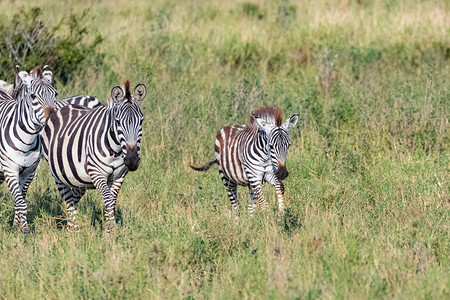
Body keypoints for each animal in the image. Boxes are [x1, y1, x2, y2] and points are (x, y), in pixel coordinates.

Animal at [0, 65, 58, 232]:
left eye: (55, 94)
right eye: (33, 96)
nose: (53, 118)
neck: (27, 141)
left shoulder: (29, 172)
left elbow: (20, 199)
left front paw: (17, 226)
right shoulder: (10, 170)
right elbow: (21, 203)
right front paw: (23, 230)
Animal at [41, 79, 147, 232]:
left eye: (141, 121)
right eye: (118, 122)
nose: (132, 160)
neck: (115, 151)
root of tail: (61, 109)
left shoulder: (119, 176)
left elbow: (112, 201)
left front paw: (109, 231)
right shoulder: (96, 172)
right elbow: (108, 199)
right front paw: (112, 229)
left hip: (79, 178)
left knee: (74, 198)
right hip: (59, 175)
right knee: (68, 200)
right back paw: (72, 231)